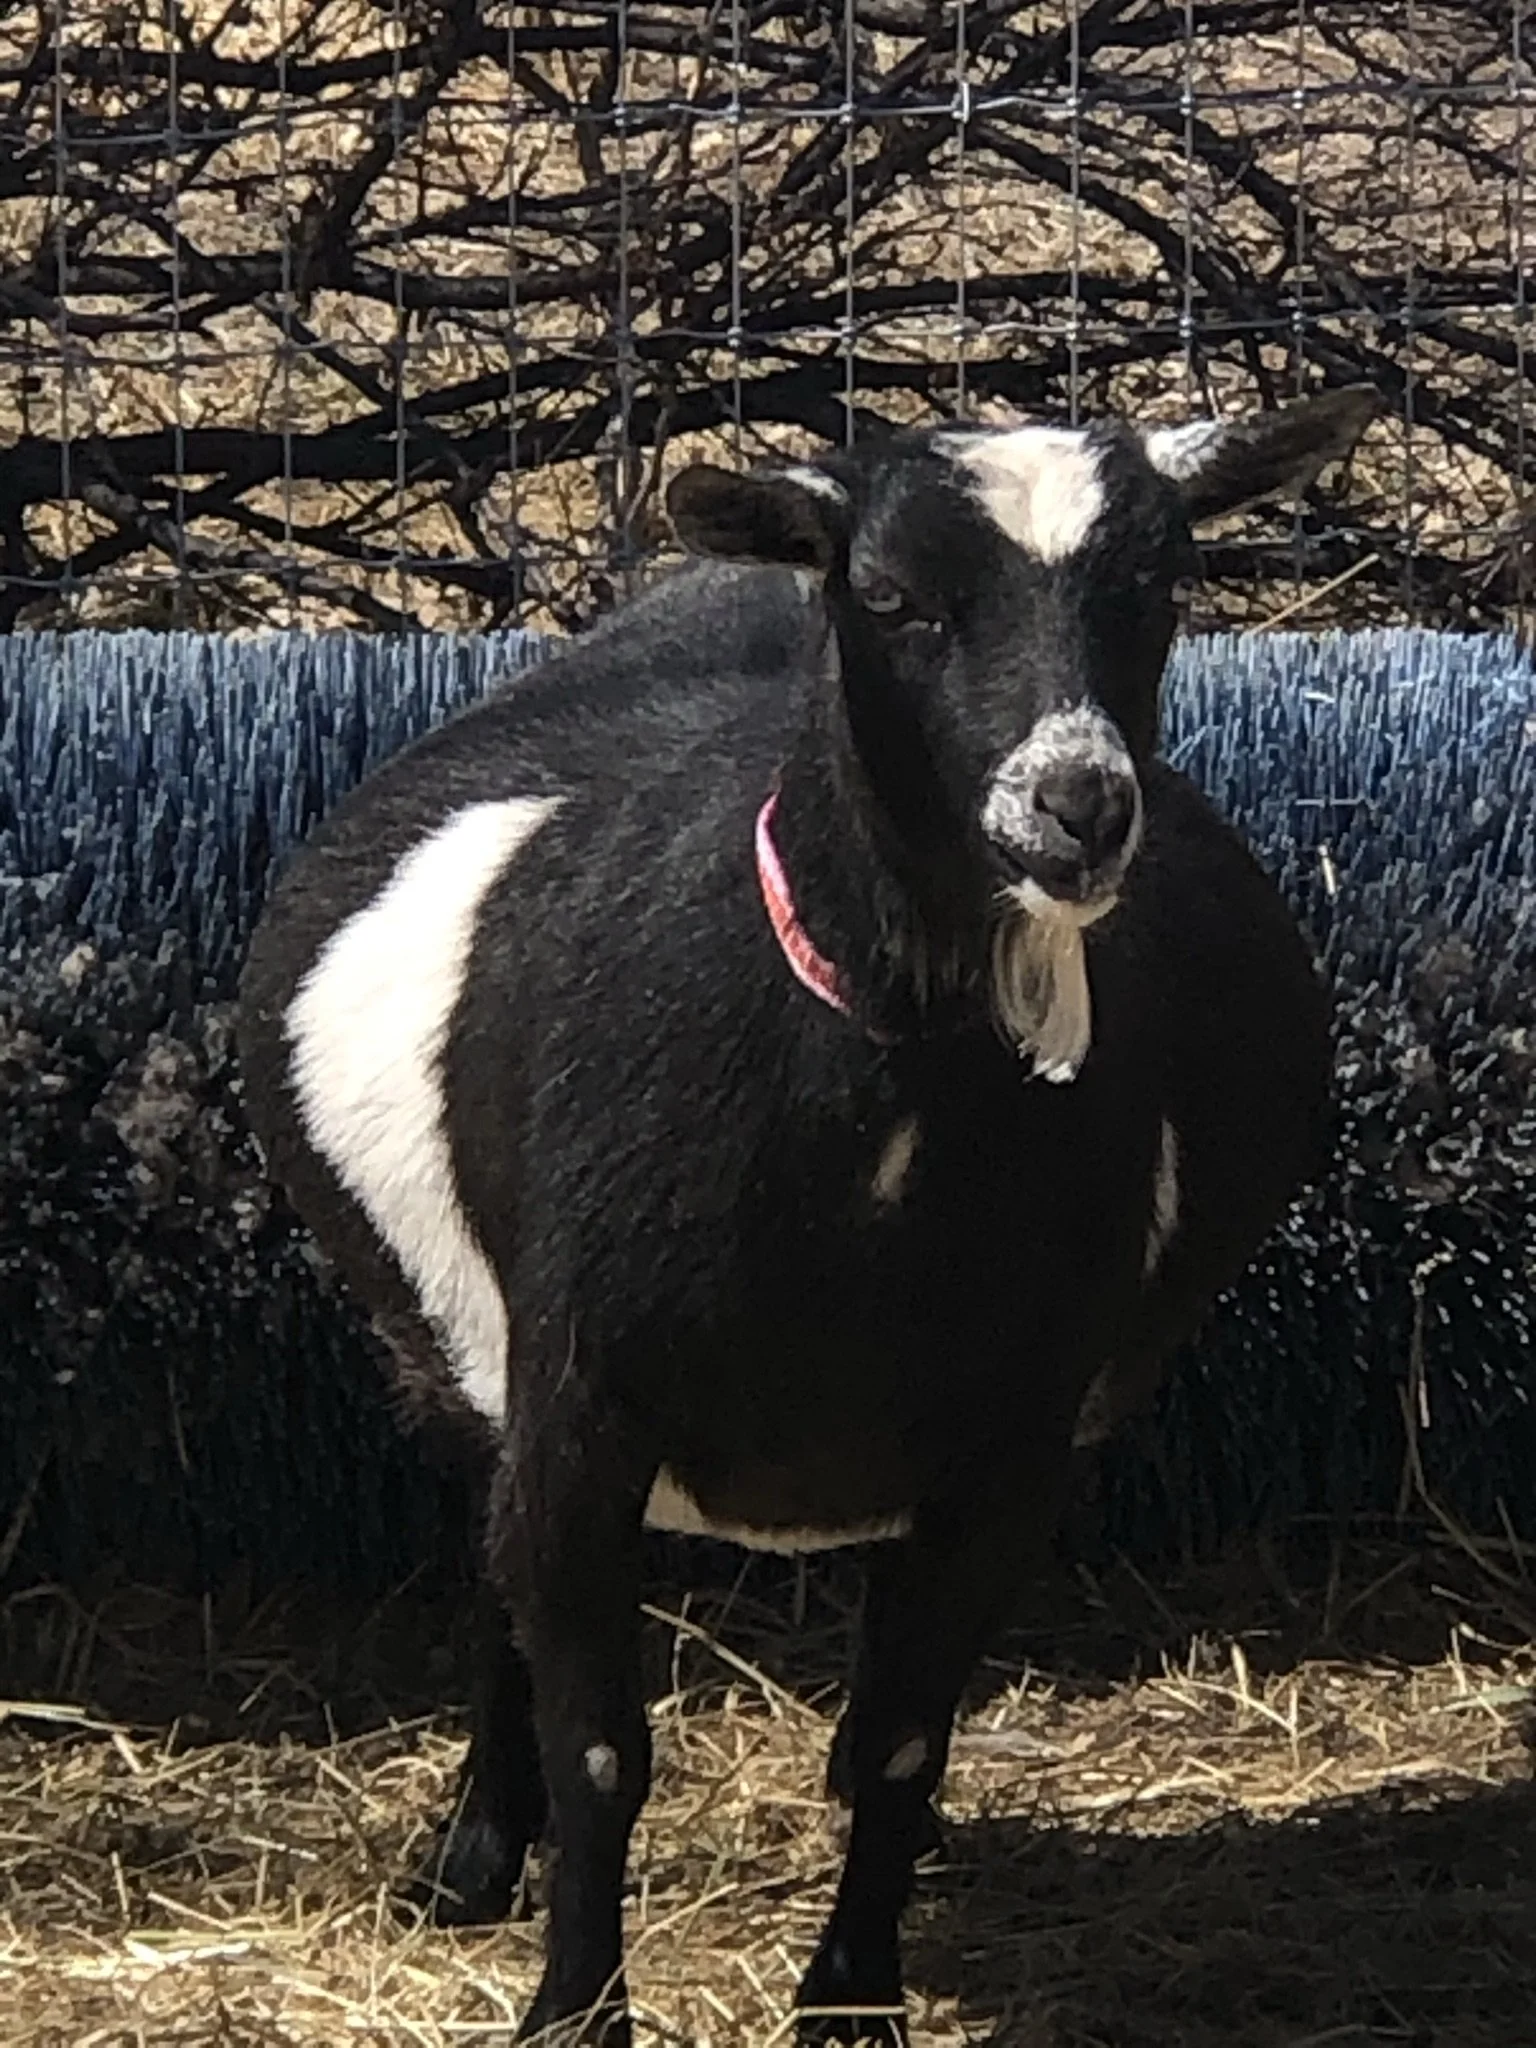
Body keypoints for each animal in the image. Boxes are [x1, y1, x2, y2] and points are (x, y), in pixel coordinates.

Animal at [238, 386, 1377, 2045]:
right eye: (892, 598)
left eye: (1156, 587)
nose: (1078, 805)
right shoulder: (577, 1409)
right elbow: (601, 1750)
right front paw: (572, 2008)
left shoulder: (1007, 1445)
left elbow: (902, 1742)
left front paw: (852, 1996)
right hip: (458, 1363)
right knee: (494, 1588)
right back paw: (470, 1857)